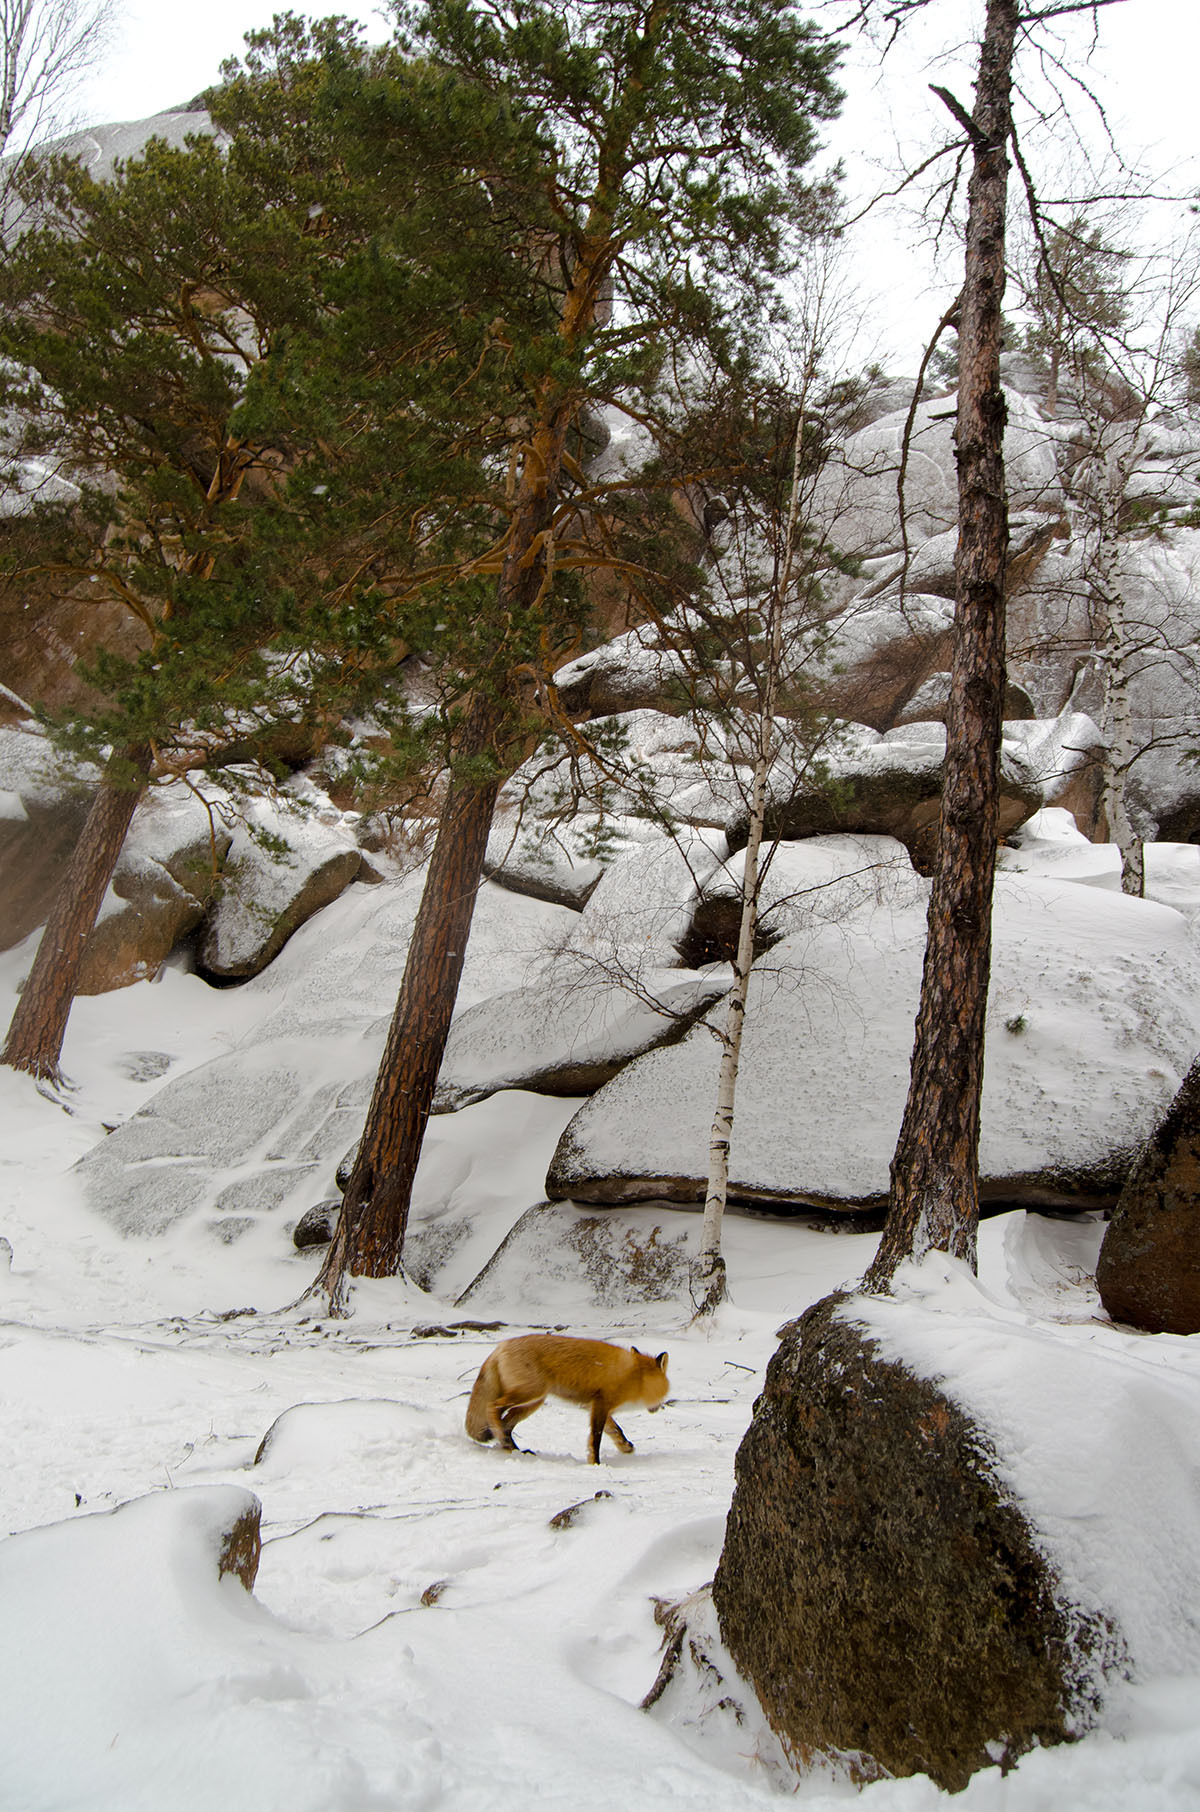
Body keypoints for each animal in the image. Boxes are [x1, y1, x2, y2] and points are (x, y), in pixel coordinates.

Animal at [464, 1340, 670, 1464]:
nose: (657, 1408)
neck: (635, 1376)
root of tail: (500, 1346)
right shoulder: (601, 1404)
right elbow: (596, 1438)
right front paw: (595, 1463)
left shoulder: (596, 1406)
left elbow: (615, 1430)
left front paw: (625, 1447)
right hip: (529, 1393)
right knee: (493, 1408)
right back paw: (505, 1443)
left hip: (532, 1403)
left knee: (506, 1424)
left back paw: (512, 1448)